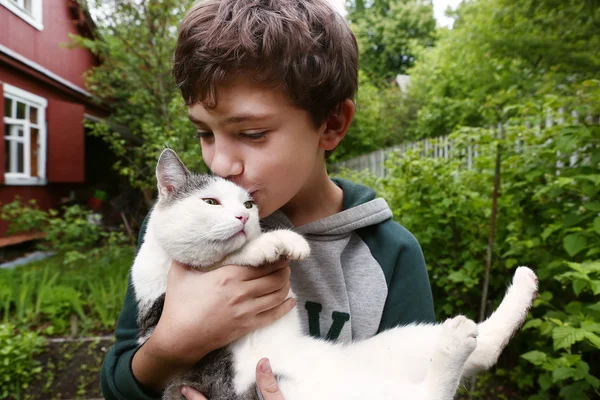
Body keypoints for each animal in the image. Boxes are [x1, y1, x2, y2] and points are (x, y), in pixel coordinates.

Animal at [132, 149, 540, 400]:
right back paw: (457, 340)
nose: (244, 217)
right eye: (210, 202)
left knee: (483, 350)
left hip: (394, 346)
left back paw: (521, 284)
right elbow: (218, 259)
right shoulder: (159, 311)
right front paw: (272, 242)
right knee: (428, 394)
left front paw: (268, 240)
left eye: (248, 203)